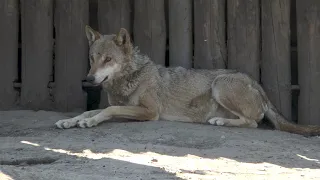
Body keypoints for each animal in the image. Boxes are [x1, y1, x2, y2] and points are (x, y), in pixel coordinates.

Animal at [55, 25, 320, 136]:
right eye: (92, 59)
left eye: (108, 59)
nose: (89, 78)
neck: (129, 79)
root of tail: (259, 86)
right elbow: (91, 110)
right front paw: (71, 121)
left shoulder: (149, 112)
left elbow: (109, 110)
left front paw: (90, 122)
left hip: (220, 84)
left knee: (253, 123)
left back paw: (219, 122)